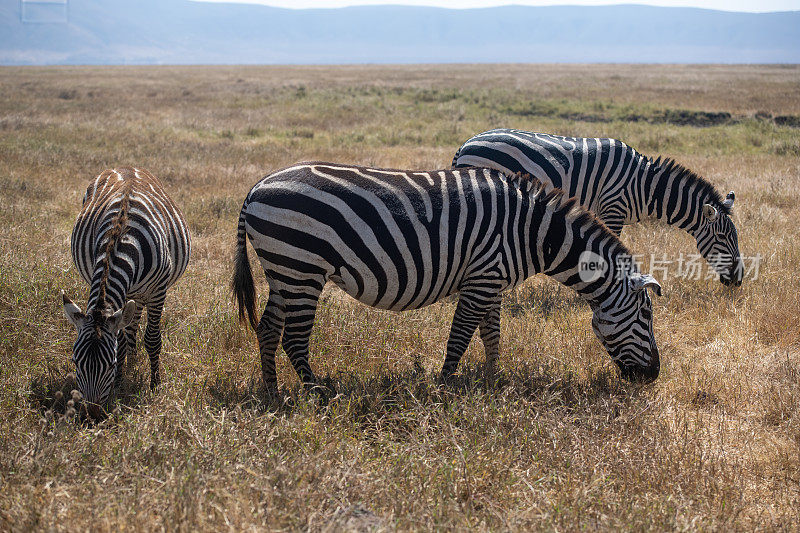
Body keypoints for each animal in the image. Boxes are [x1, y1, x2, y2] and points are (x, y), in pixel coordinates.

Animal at [61, 166, 191, 416]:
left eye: (109, 364)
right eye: (75, 362)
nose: (92, 415)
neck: (120, 237)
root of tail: (127, 167)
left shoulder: (158, 291)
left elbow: (152, 338)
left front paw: (155, 384)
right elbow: (120, 340)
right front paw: (120, 382)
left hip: (141, 293)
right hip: (130, 293)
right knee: (130, 326)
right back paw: (131, 360)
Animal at [231, 160, 664, 392]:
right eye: (646, 316)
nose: (652, 377)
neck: (533, 233)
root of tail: (256, 188)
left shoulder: (491, 279)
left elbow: (492, 335)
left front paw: (492, 381)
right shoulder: (482, 278)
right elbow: (460, 337)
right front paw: (444, 388)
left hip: (284, 270)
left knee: (268, 328)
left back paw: (272, 390)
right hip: (301, 267)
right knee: (294, 338)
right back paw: (317, 392)